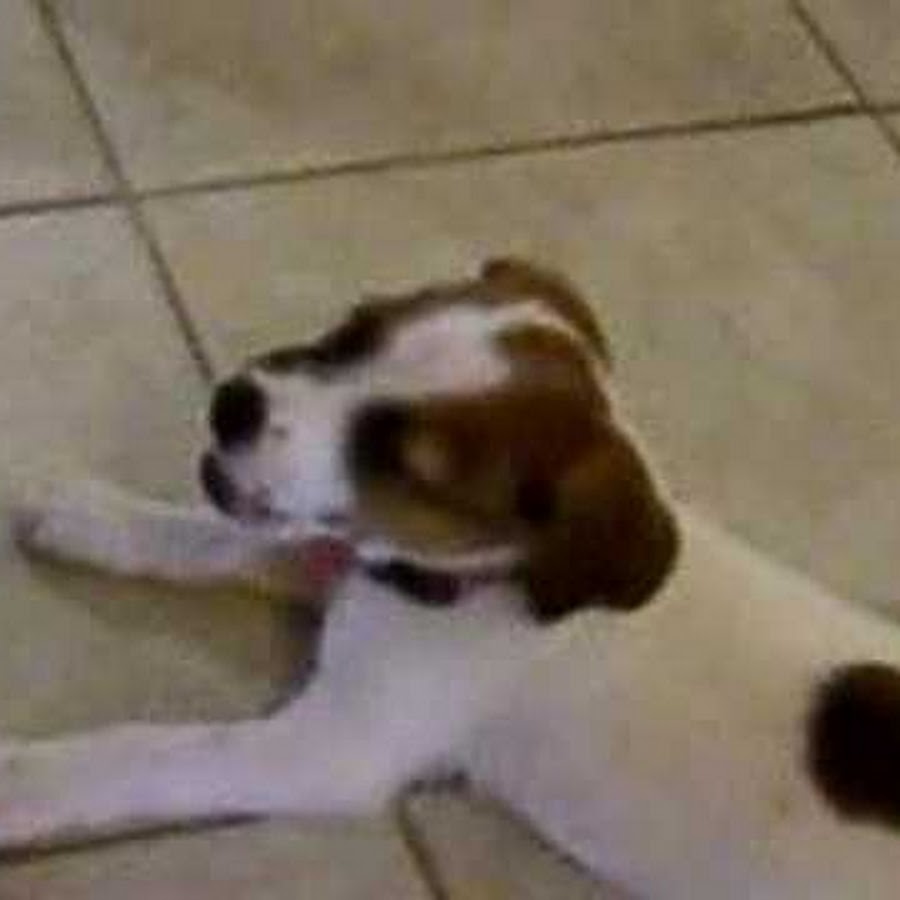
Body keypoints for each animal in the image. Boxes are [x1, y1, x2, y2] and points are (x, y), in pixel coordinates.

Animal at [5, 258, 900, 898]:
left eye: (405, 463)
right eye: (354, 327)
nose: (233, 402)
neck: (483, 584)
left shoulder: (329, 752)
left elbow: (151, 751)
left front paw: (22, 781)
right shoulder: (353, 566)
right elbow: (216, 539)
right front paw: (92, 517)